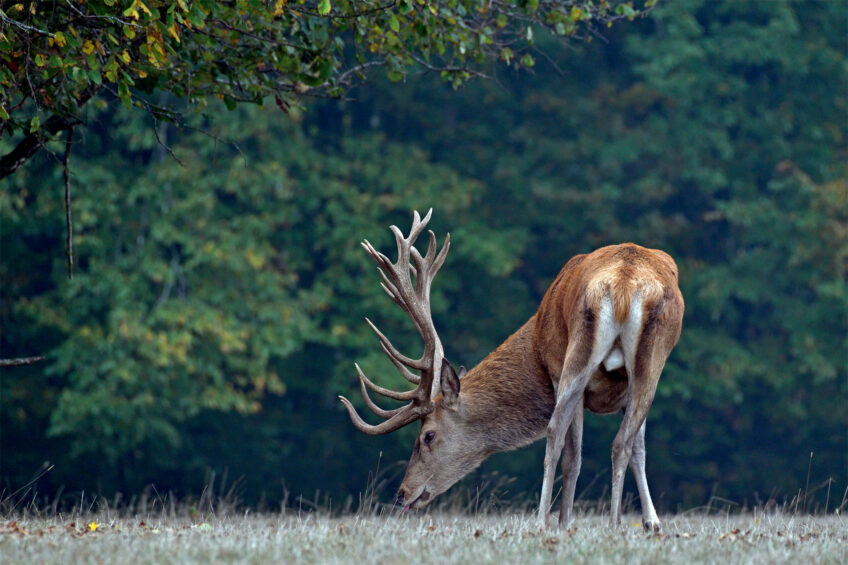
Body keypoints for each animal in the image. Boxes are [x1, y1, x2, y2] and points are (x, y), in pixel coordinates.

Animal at [339, 210, 684, 530]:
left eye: (428, 435)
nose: (401, 494)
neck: (534, 344)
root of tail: (624, 283)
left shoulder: (556, 369)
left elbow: (573, 456)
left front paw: (565, 522)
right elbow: (638, 449)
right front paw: (651, 522)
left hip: (578, 359)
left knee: (558, 434)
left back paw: (548, 520)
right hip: (650, 364)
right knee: (621, 441)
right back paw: (613, 522)